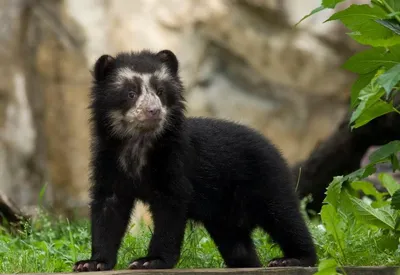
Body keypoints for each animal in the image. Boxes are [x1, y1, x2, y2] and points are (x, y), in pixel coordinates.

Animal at [72, 49, 316, 272]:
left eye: (161, 91)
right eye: (131, 93)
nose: (153, 111)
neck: (139, 143)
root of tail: (274, 148)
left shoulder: (173, 159)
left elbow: (171, 206)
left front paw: (150, 261)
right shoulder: (108, 159)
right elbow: (108, 208)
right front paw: (91, 263)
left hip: (265, 179)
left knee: (285, 217)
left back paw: (294, 259)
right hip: (225, 215)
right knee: (238, 245)